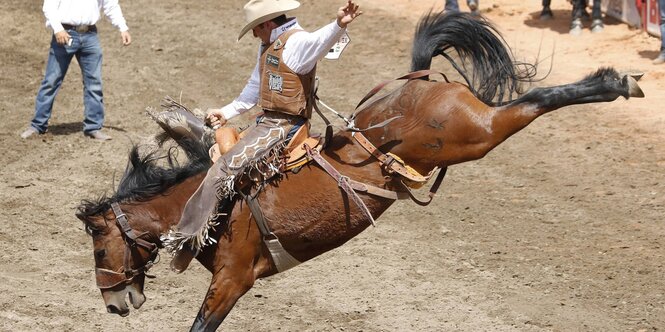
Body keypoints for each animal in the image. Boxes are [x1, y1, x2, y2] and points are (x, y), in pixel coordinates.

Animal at [75, 11, 640, 332]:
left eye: (101, 250)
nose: (115, 304)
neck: (213, 204)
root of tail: (417, 80)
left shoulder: (232, 280)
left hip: (476, 134)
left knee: (531, 103)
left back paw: (616, 83)